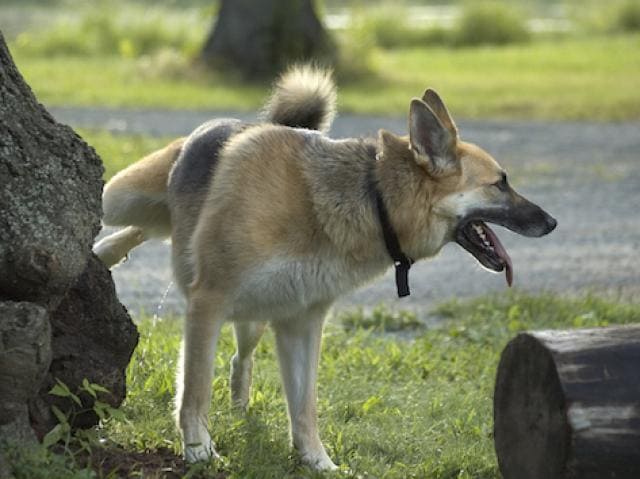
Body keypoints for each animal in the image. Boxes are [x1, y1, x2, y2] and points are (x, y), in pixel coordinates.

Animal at [94, 64, 556, 472]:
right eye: (500, 183)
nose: (552, 223)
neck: (370, 198)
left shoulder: (300, 322)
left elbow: (304, 407)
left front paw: (318, 462)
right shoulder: (208, 303)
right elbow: (195, 390)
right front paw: (199, 452)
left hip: (255, 317)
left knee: (239, 358)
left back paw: (240, 406)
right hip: (123, 197)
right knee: (129, 219)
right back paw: (104, 250)